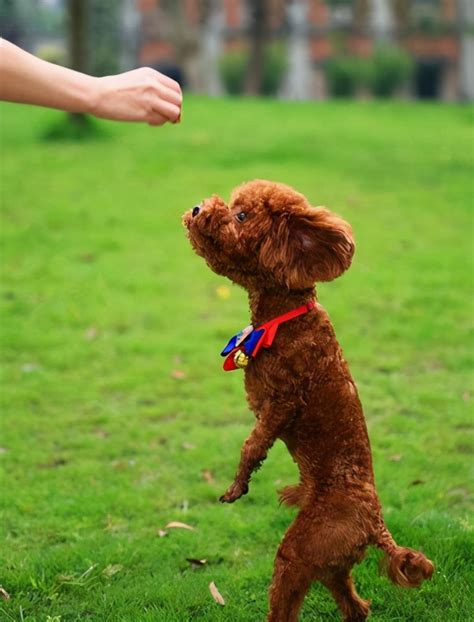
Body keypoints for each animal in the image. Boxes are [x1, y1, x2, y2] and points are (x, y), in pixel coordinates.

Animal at [182, 179, 434, 620]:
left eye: (241, 216)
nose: (197, 208)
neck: (286, 320)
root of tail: (376, 524)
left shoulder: (285, 400)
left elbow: (252, 445)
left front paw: (236, 488)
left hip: (302, 550)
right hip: (331, 562)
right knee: (356, 606)